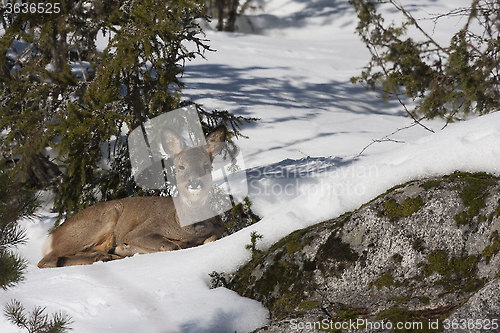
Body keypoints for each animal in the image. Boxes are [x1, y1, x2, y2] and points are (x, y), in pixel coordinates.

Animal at [38, 124, 226, 268]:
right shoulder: (143, 230)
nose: (195, 183)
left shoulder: (218, 230)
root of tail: (50, 237)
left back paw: (106, 255)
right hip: (97, 222)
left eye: (206, 166)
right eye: (181, 166)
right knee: (47, 260)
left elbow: (210, 239)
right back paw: (105, 256)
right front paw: (125, 249)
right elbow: (171, 245)